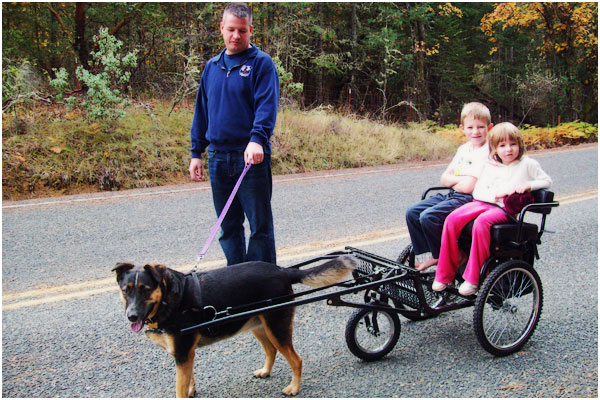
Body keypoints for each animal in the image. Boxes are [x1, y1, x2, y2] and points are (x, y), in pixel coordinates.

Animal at [112, 256, 356, 396]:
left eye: (145, 289)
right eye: (125, 290)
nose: (131, 316)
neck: (170, 298)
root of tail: (281, 270)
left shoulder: (182, 352)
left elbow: (180, 388)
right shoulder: (185, 354)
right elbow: (189, 379)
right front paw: (192, 390)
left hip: (276, 326)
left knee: (296, 360)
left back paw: (294, 388)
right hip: (258, 325)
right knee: (271, 350)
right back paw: (266, 371)